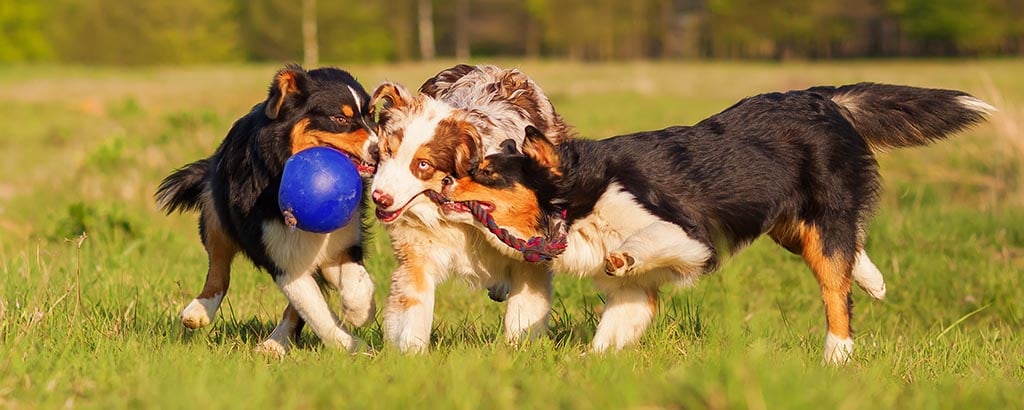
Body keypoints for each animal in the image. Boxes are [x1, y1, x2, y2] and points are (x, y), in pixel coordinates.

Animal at [157, 64, 382, 354]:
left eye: (372, 115)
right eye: (340, 119)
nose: (380, 150)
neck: (282, 161)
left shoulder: (342, 241)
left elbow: (353, 281)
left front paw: (360, 311)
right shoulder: (281, 255)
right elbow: (317, 313)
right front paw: (356, 348)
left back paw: (276, 343)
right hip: (215, 214)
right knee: (219, 268)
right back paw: (199, 311)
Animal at [440, 82, 991, 362]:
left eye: (485, 173)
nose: (442, 183)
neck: (573, 200)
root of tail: (826, 98)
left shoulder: (690, 237)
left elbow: (641, 244)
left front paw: (625, 253)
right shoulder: (633, 294)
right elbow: (608, 336)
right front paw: (586, 371)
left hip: (821, 218)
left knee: (836, 288)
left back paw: (837, 356)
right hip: (787, 223)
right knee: (848, 256)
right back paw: (875, 282)